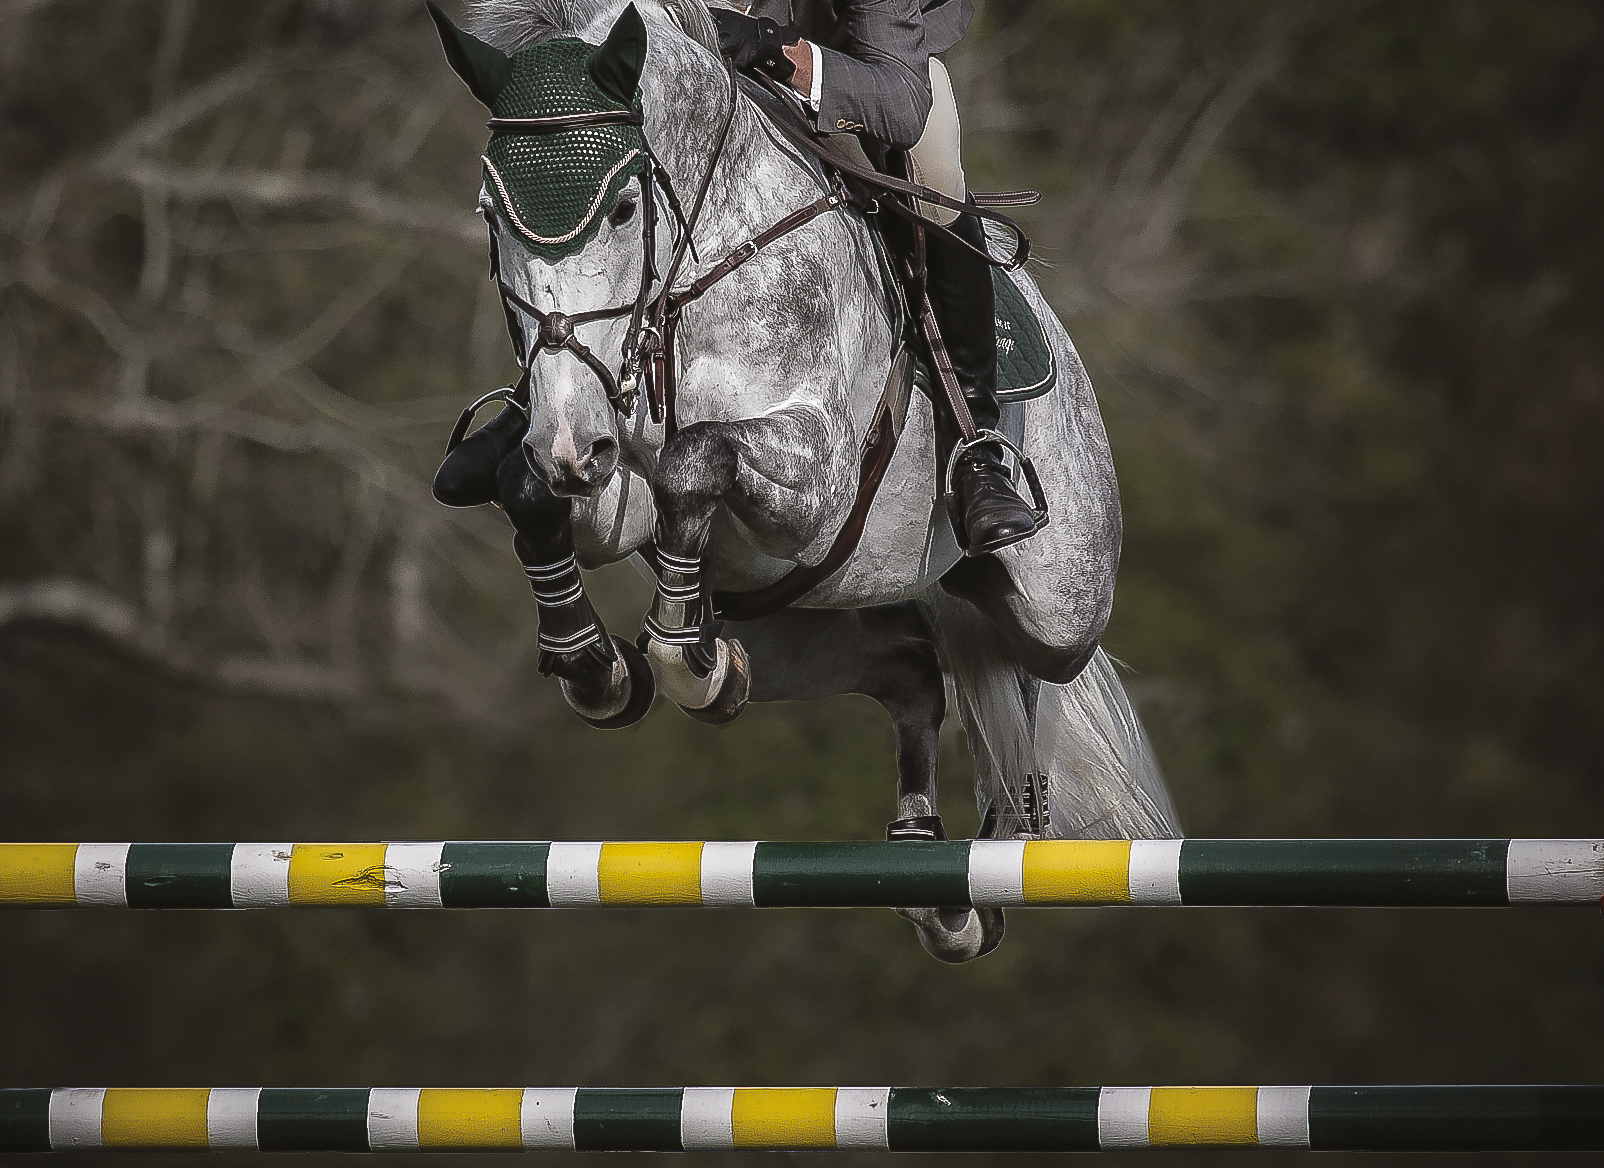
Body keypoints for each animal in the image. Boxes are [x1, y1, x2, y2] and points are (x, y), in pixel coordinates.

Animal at [432, 0, 1179, 961]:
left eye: (626, 205)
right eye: (490, 215)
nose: (569, 443)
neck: (691, 274)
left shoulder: (815, 480)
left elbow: (697, 458)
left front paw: (674, 653)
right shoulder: (605, 479)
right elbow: (536, 491)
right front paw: (603, 666)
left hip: (1059, 602)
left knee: (1029, 673)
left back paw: (992, 848)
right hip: (797, 624)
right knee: (908, 664)